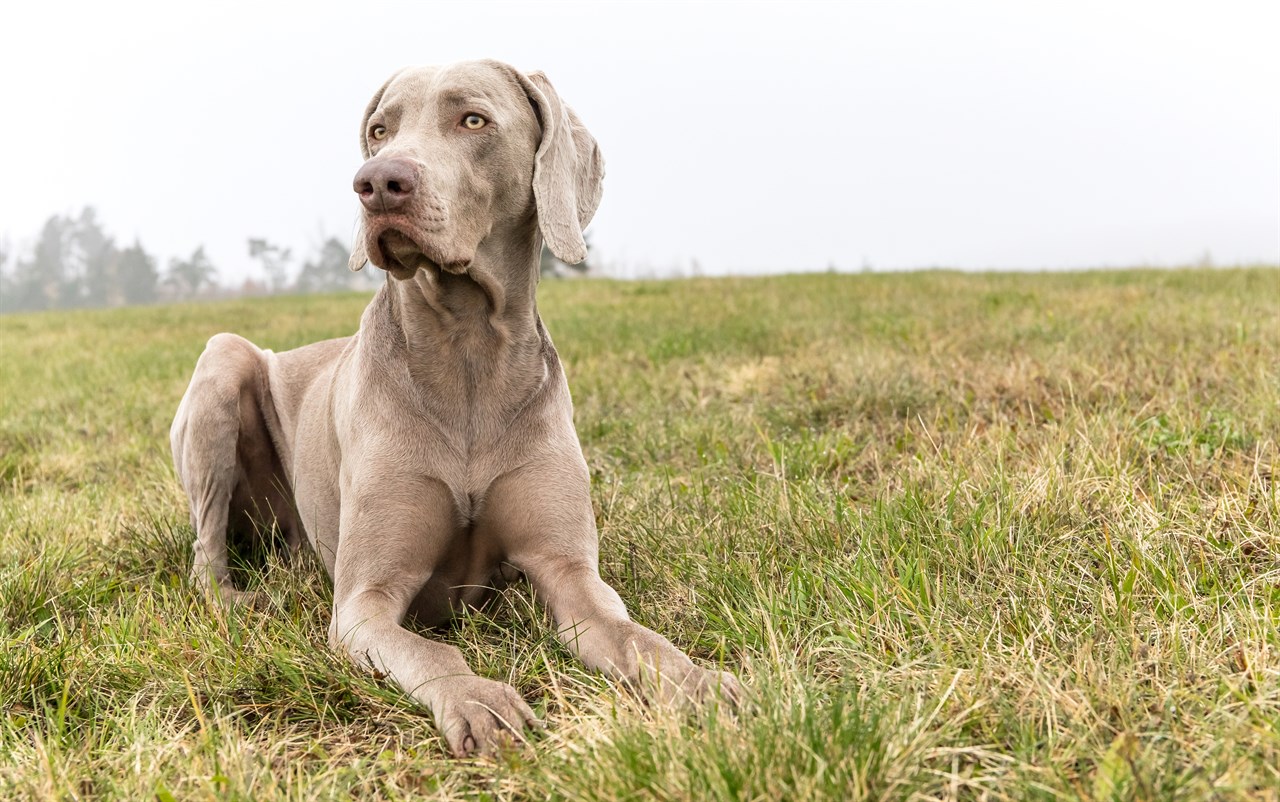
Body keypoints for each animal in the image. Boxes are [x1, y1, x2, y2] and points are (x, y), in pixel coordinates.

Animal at [175, 59, 747, 757]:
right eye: (379, 129)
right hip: (223, 360)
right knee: (205, 552)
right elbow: (431, 653)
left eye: (473, 119)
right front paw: (479, 700)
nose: (377, 183)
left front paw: (700, 684)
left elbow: (634, 636)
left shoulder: (571, 574)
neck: (469, 349)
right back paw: (240, 600)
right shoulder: (363, 603)